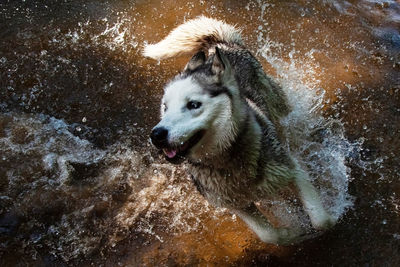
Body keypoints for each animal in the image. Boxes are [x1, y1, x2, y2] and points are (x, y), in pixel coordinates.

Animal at [143, 16, 334, 246]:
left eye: (193, 105)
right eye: (165, 107)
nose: (157, 135)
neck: (228, 161)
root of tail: (220, 45)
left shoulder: (292, 170)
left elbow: (321, 220)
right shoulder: (236, 206)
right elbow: (268, 234)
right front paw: (290, 234)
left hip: (278, 108)